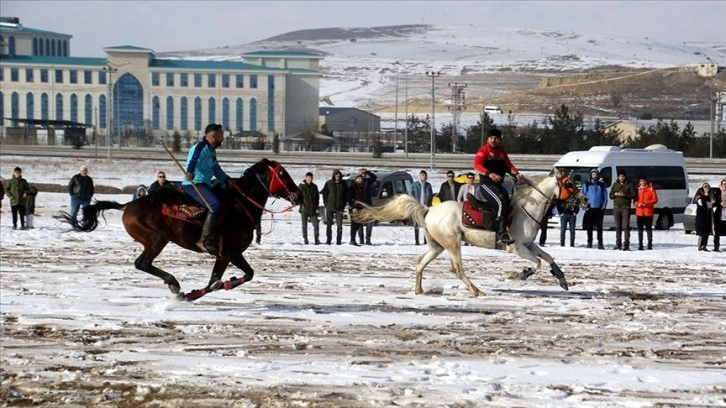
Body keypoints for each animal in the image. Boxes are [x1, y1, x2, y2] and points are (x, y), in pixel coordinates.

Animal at [56, 159, 302, 302]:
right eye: (282, 174)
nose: (298, 195)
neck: (240, 205)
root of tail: (128, 205)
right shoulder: (231, 252)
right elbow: (249, 273)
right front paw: (226, 283)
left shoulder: (222, 256)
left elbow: (213, 281)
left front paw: (196, 293)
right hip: (157, 238)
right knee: (142, 263)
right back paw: (174, 283)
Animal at [356, 172, 588, 296]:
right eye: (569, 183)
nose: (585, 200)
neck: (526, 210)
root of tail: (429, 209)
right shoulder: (517, 247)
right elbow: (537, 263)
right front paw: (522, 273)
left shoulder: (529, 244)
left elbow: (548, 257)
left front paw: (561, 279)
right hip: (453, 244)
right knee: (457, 269)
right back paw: (476, 291)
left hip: (437, 246)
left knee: (420, 263)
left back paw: (419, 290)